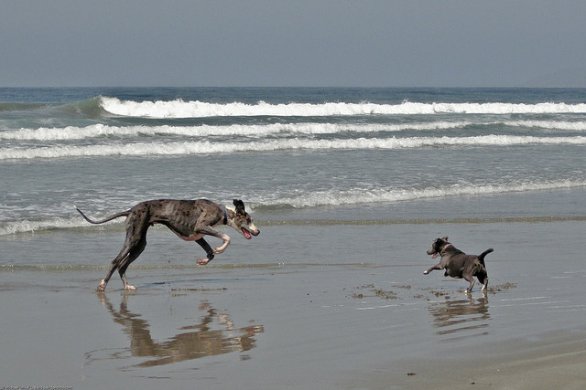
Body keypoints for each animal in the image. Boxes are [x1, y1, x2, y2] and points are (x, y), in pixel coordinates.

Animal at [76, 200, 258, 290]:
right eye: (249, 220)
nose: (258, 232)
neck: (223, 212)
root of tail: (131, 210)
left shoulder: (197, 236)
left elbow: (210, 253)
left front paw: (204, 260)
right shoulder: (201, 227)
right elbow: (227, 237)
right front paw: (220, 248)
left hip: (140, 245)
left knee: (122, 265)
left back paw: (127, 286)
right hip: (134, 239)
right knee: (115, 261)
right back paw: (102, 284)